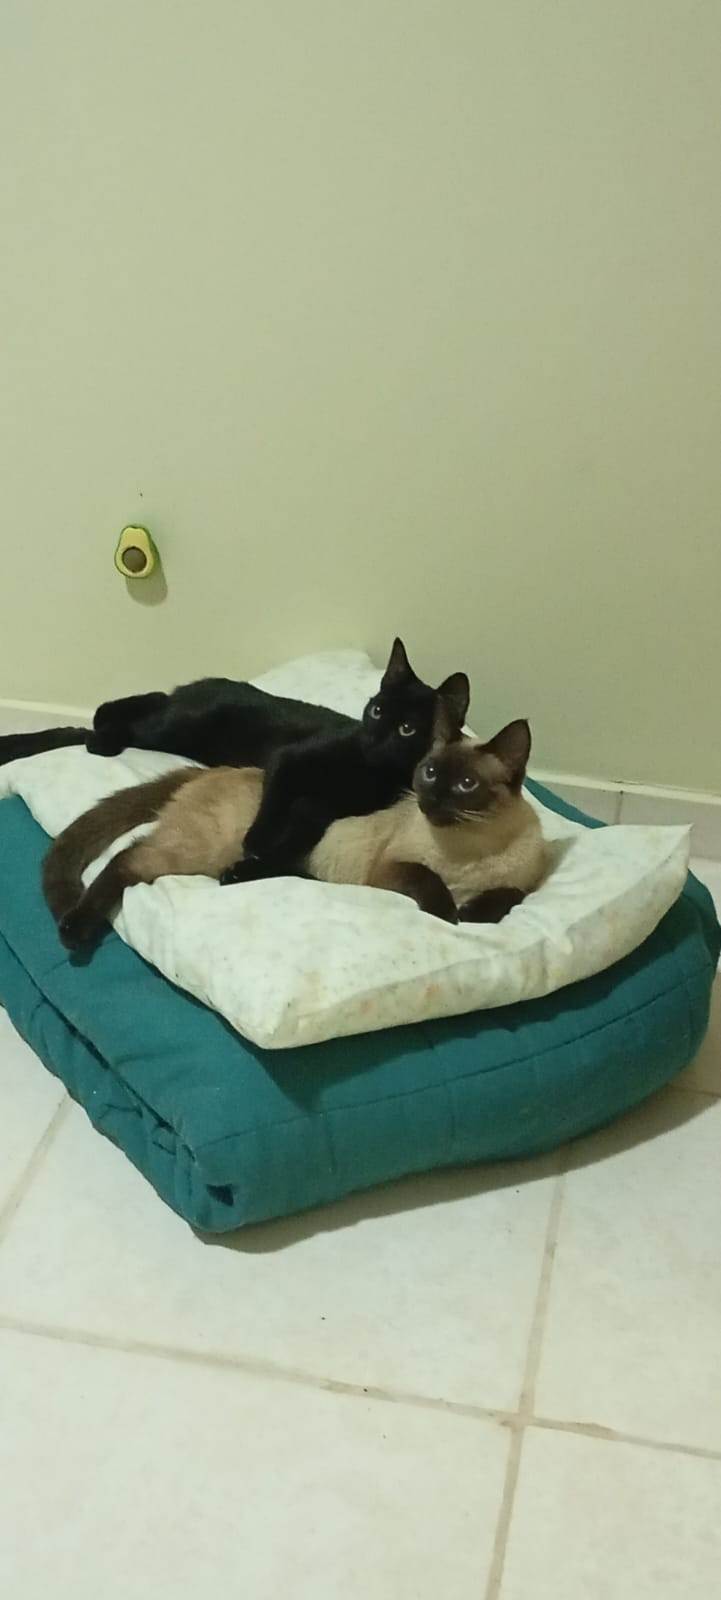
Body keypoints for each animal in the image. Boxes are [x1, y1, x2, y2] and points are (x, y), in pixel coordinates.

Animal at [43, 715, 545, 950]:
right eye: (430, 772)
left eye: (466, 785)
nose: (431, 800)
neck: (468, 851)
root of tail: (216, 769)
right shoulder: (392, 869)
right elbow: (431, 884)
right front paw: (450, 917)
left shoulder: (521, 885)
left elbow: (506, 897)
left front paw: (474, 914)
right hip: (196, 852)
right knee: (125, 859)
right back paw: (75, 929)